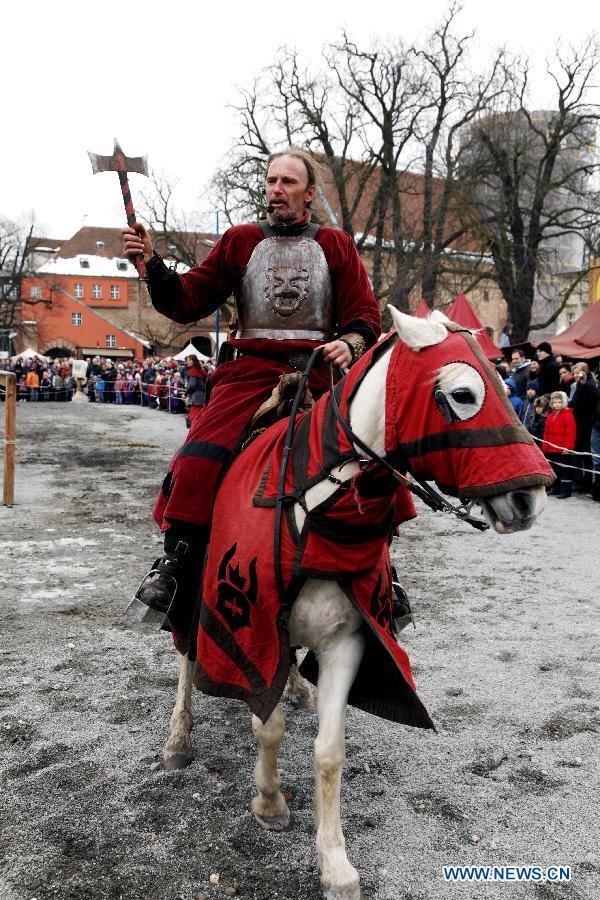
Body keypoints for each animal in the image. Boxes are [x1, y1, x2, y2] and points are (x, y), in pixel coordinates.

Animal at [162, 306, 552, 896]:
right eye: (464, 394)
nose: (530, 499)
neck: (311, 512)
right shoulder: (252, 628)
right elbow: (266, 723)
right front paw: (270, 802)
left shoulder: (347, 641)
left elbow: (329, 751)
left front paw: (335, 862)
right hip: (196, 592)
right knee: (187, 655)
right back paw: (179, 738)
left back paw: (298, 688)